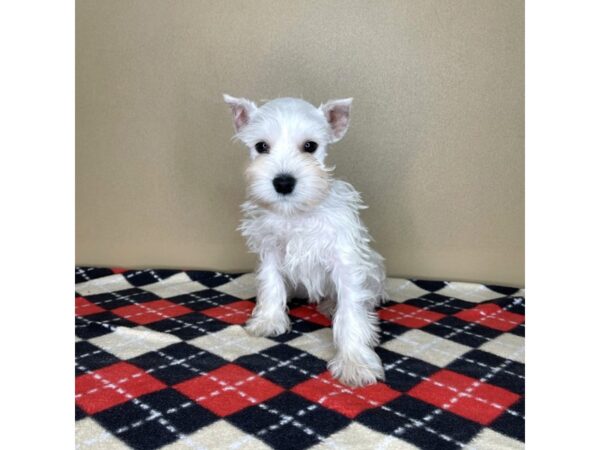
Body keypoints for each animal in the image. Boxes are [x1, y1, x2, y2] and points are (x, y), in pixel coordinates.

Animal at [224, 95, 384, 386]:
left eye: (310, 146)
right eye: (261, 146)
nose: (283, 182)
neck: (296, 214)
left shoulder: (345, 261)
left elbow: (351, 311)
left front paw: (354, 362)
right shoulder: (270, 250)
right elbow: (271, 284)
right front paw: (268, 320)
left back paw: (332, 304)